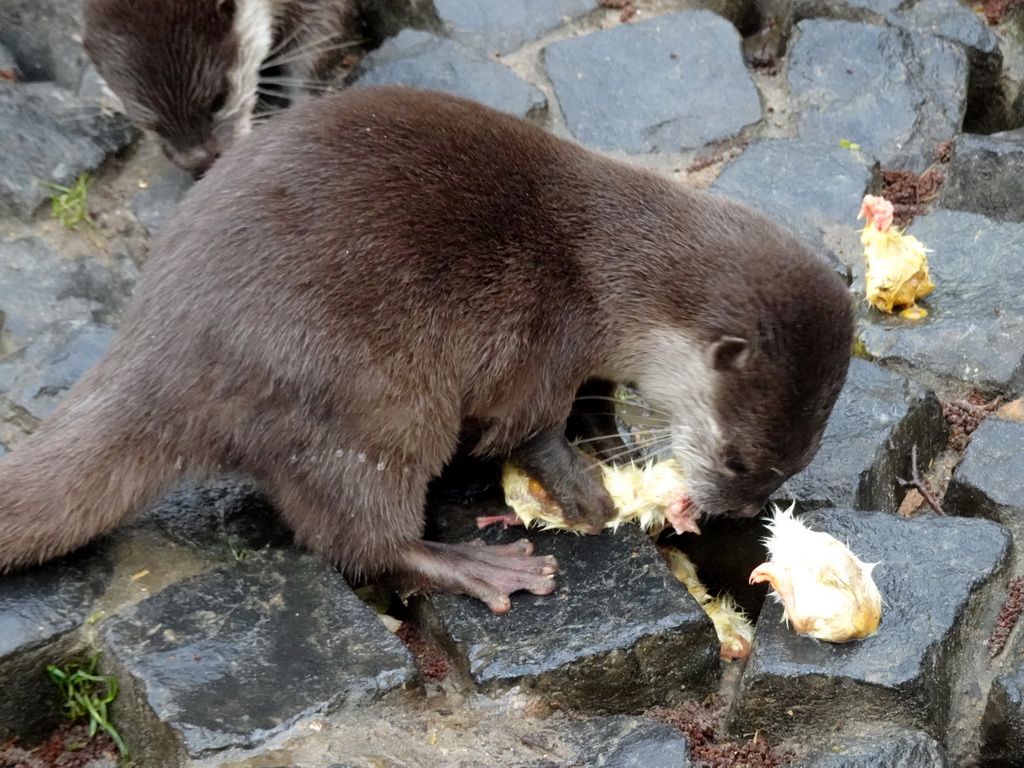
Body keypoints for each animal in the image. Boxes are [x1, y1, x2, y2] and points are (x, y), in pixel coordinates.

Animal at [0, 85, 851, 614]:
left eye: (788, 468)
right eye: (739, 461)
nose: (727, 511)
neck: (606, 270)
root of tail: (156, 350)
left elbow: (596, 396)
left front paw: (612, 442)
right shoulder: (543, 336)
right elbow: (530, 428)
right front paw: (587, 494)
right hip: (367, 404)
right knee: (359, 538)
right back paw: (479, 567)